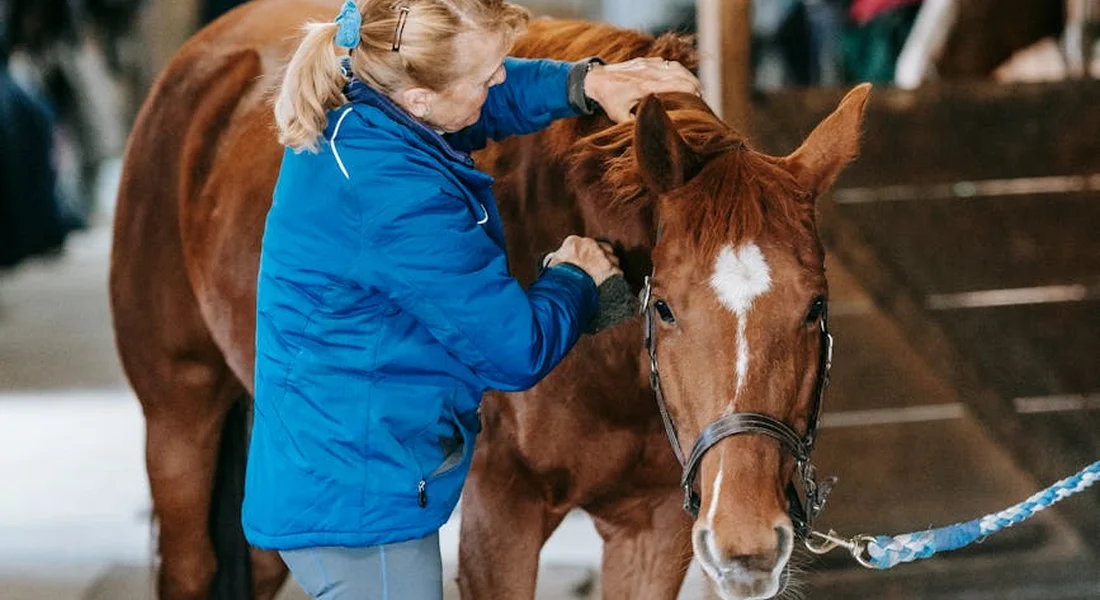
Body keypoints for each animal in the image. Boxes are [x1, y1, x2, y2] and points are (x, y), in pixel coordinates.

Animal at [108, 1, 869, 598]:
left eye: (815, 308)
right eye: (666, 308)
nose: (747, 545)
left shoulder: (652, 529)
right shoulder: (503, 520)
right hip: (178, 419)